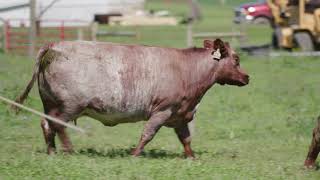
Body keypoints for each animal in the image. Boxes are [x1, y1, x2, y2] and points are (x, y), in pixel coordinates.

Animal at [14, 39, 250, 156]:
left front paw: (192, 157)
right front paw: (135, 154)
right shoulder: (162, 111)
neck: (187, 70)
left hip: (50, 103)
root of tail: (54, 45)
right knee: (58, 125)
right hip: (70, 105)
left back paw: (52, 151)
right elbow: (147, 134)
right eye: (237, 59)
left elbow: (186, 139)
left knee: (47, 124)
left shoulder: (179, 116)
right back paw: (69, 150)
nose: (247, 77)